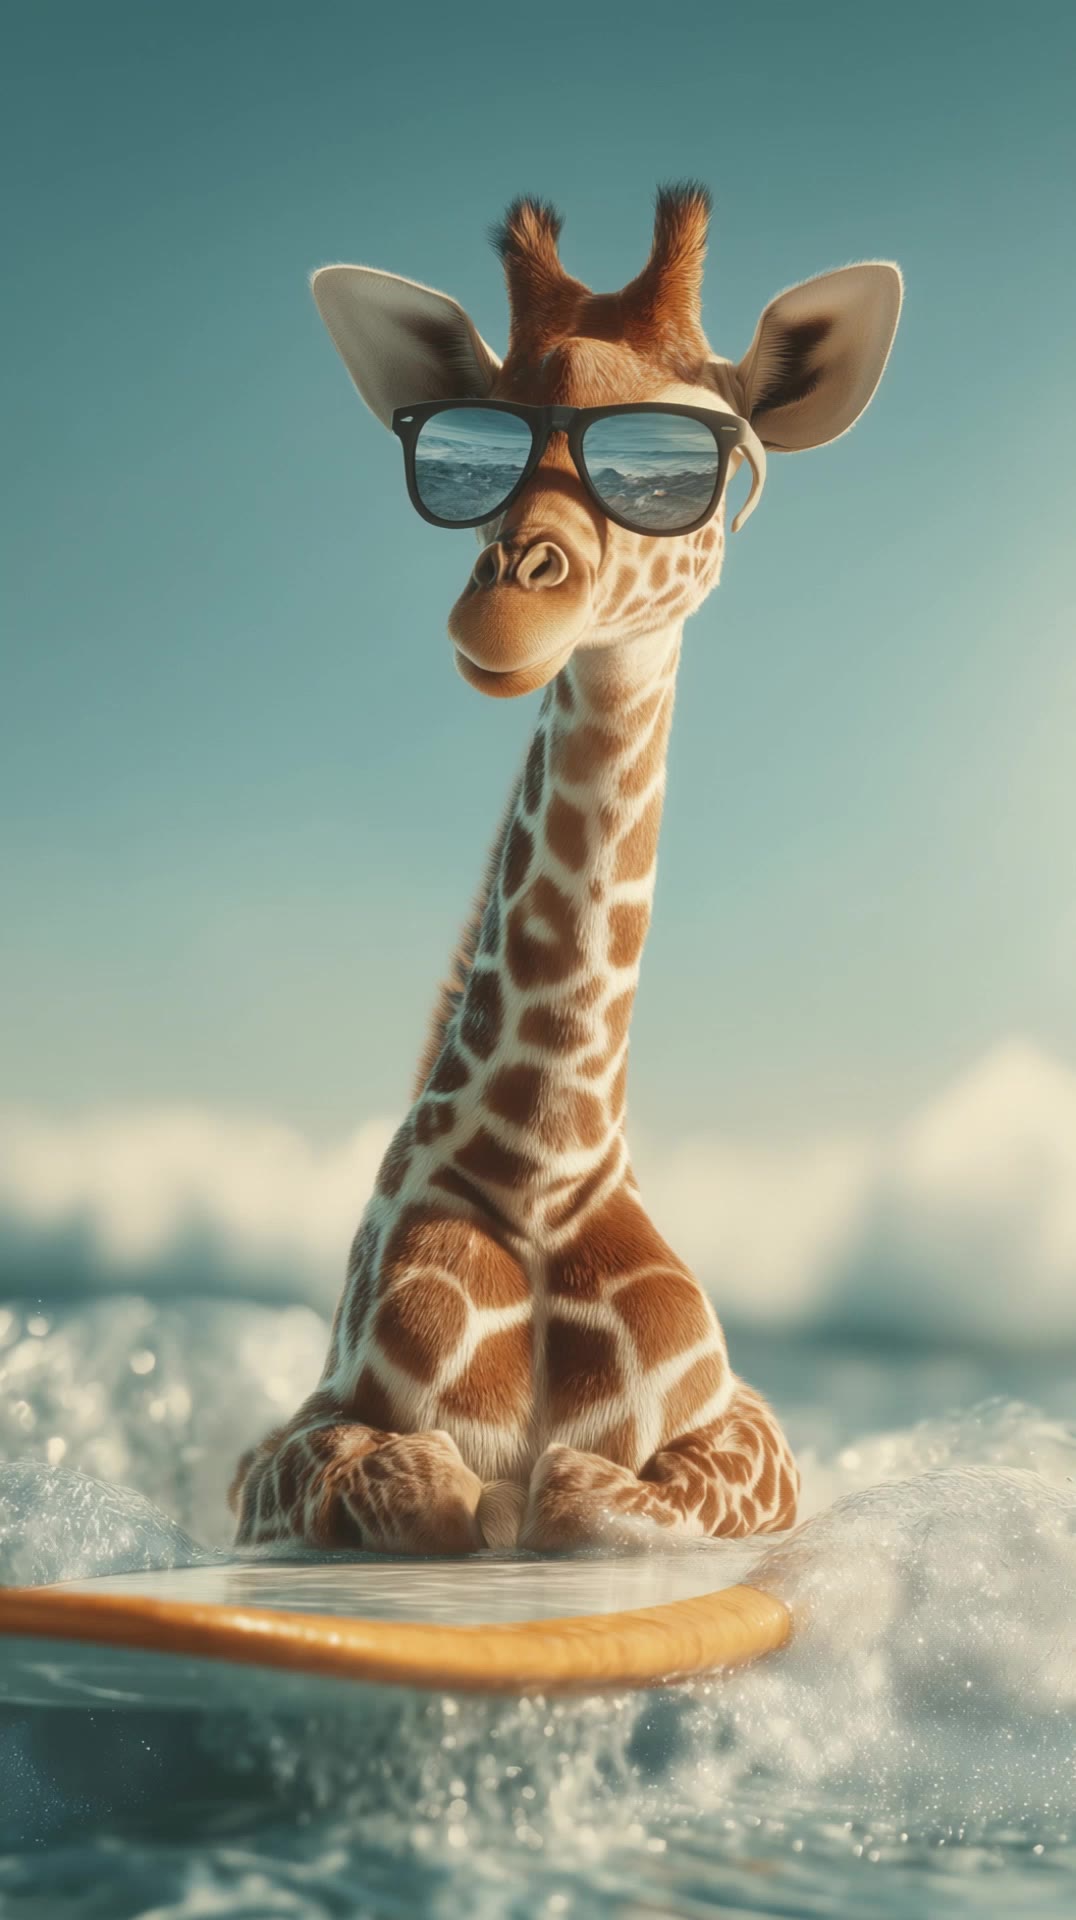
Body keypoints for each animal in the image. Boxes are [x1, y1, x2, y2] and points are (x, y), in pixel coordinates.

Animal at [231, 186, 902, 1555]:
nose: (504, 608)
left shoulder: (758, 1436)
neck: (543, 1161)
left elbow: (590, 1489)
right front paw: (484, 1497)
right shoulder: (275, 1454)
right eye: (475, 445)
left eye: (690, 459)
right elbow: (431, 1481)